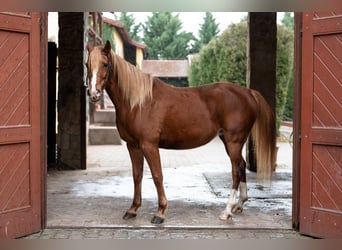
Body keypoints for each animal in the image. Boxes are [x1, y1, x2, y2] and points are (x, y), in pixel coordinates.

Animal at [86, 41, 278, 225]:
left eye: (105, 64)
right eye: (87, 64)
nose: (93, 93)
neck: (138, 103)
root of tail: (248, 92)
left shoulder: (149, 145)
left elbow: (157, 176)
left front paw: (160, 212)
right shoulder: (133, 146)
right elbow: (137, 175)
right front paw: (133, 209)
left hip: (234, 142)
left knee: (236, 172)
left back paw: (227, 211)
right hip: (228, 141)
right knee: (242, 166)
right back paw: (239, 205)